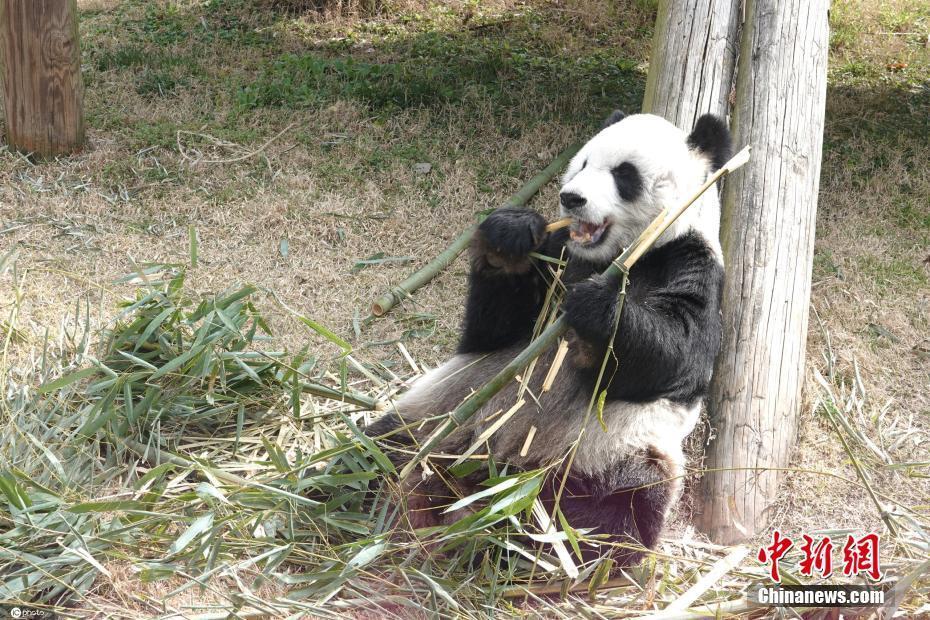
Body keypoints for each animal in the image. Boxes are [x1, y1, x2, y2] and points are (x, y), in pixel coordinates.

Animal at [366, 111, 728, 568]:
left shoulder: (690, 263)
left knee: (618, 509)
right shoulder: (559, 254)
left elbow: (673, 360)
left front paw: (596, 308)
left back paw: (518, 540)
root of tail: (488, 478)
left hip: (606, 452)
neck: (613, 256)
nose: (571, 198)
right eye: (583, 163)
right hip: (442, 416)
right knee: (379, 448)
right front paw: (509, 237)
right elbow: (493, 332)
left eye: (624, 174)